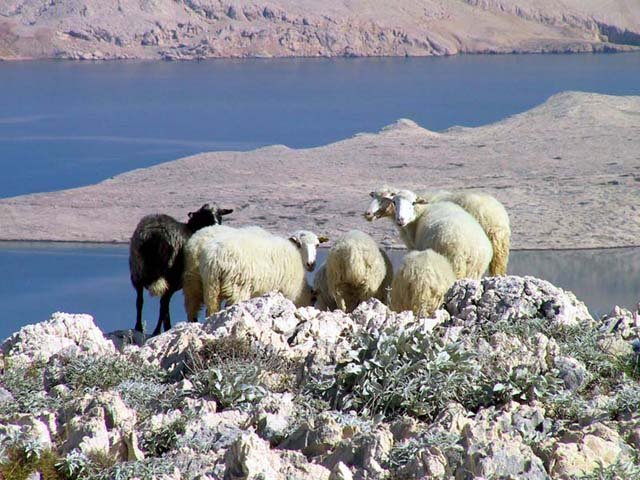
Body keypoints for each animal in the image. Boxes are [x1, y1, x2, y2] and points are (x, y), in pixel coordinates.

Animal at [128, 204, 232, 336]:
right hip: (170, 277)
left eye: (220, 214)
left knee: (139, 301)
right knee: (163, 304)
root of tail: (155, 234)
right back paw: (158, 331)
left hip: (137, 270)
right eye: (206, 215)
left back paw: (139, 328)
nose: (216, 224)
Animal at [198, 228, 328, 316]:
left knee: (211, 310)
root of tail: (215, 257)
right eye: (300, 244)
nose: (311, 264)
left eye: (317, 245)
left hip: (211, 287)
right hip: (238, 287)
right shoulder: (287, 291)